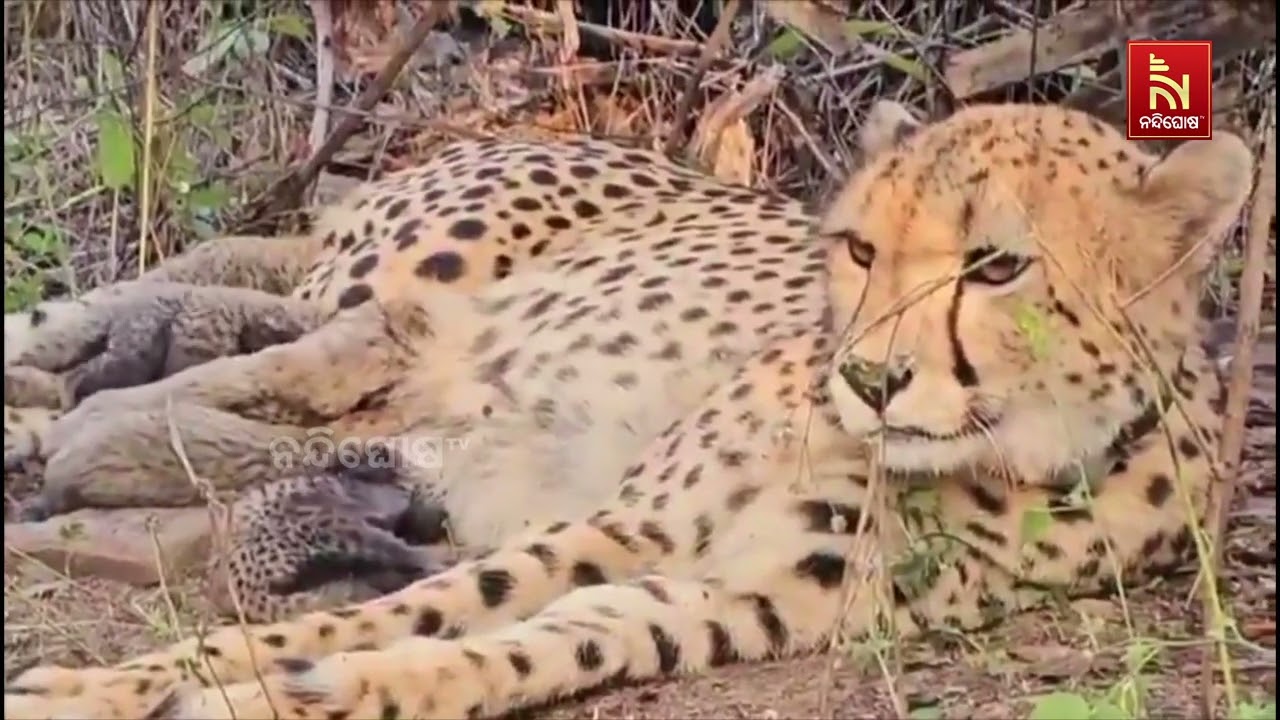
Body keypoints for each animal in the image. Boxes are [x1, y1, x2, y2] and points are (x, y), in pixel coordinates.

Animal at [1, 100, 1253, 720]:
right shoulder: (626, 522)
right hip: (406, 287)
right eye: (859, 249)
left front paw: (329, 693)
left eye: (996, 267)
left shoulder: (736, 599)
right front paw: (107, 688)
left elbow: (530, 645)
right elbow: (386, 611)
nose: (866, 379)